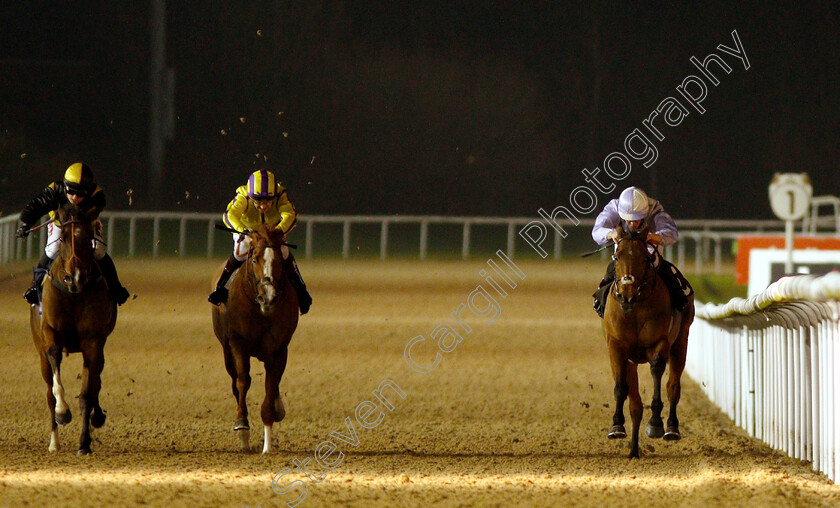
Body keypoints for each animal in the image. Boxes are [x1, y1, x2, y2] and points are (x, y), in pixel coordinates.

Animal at [212, 224, 300, 454]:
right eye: (254, 260)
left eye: (279, 262)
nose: (268, 297)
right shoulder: (237, 343)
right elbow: (243, 381)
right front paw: (242, 427)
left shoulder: (279, 349)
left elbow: (272, 384)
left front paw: (268, 443)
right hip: (226, 350)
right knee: (235, 383)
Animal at [604, 222, 696, 460]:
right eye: (616, 255)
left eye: (645, 257)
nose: (626, 293)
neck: (634, 307)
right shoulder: (616, 346)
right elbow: (621, 387)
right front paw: (617, 426)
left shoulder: (660, 342)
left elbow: (657, 371)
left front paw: (655, 423)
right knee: (635, 405)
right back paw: (634, 451)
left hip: (681, 342)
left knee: (673, 386)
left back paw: (671, 427)